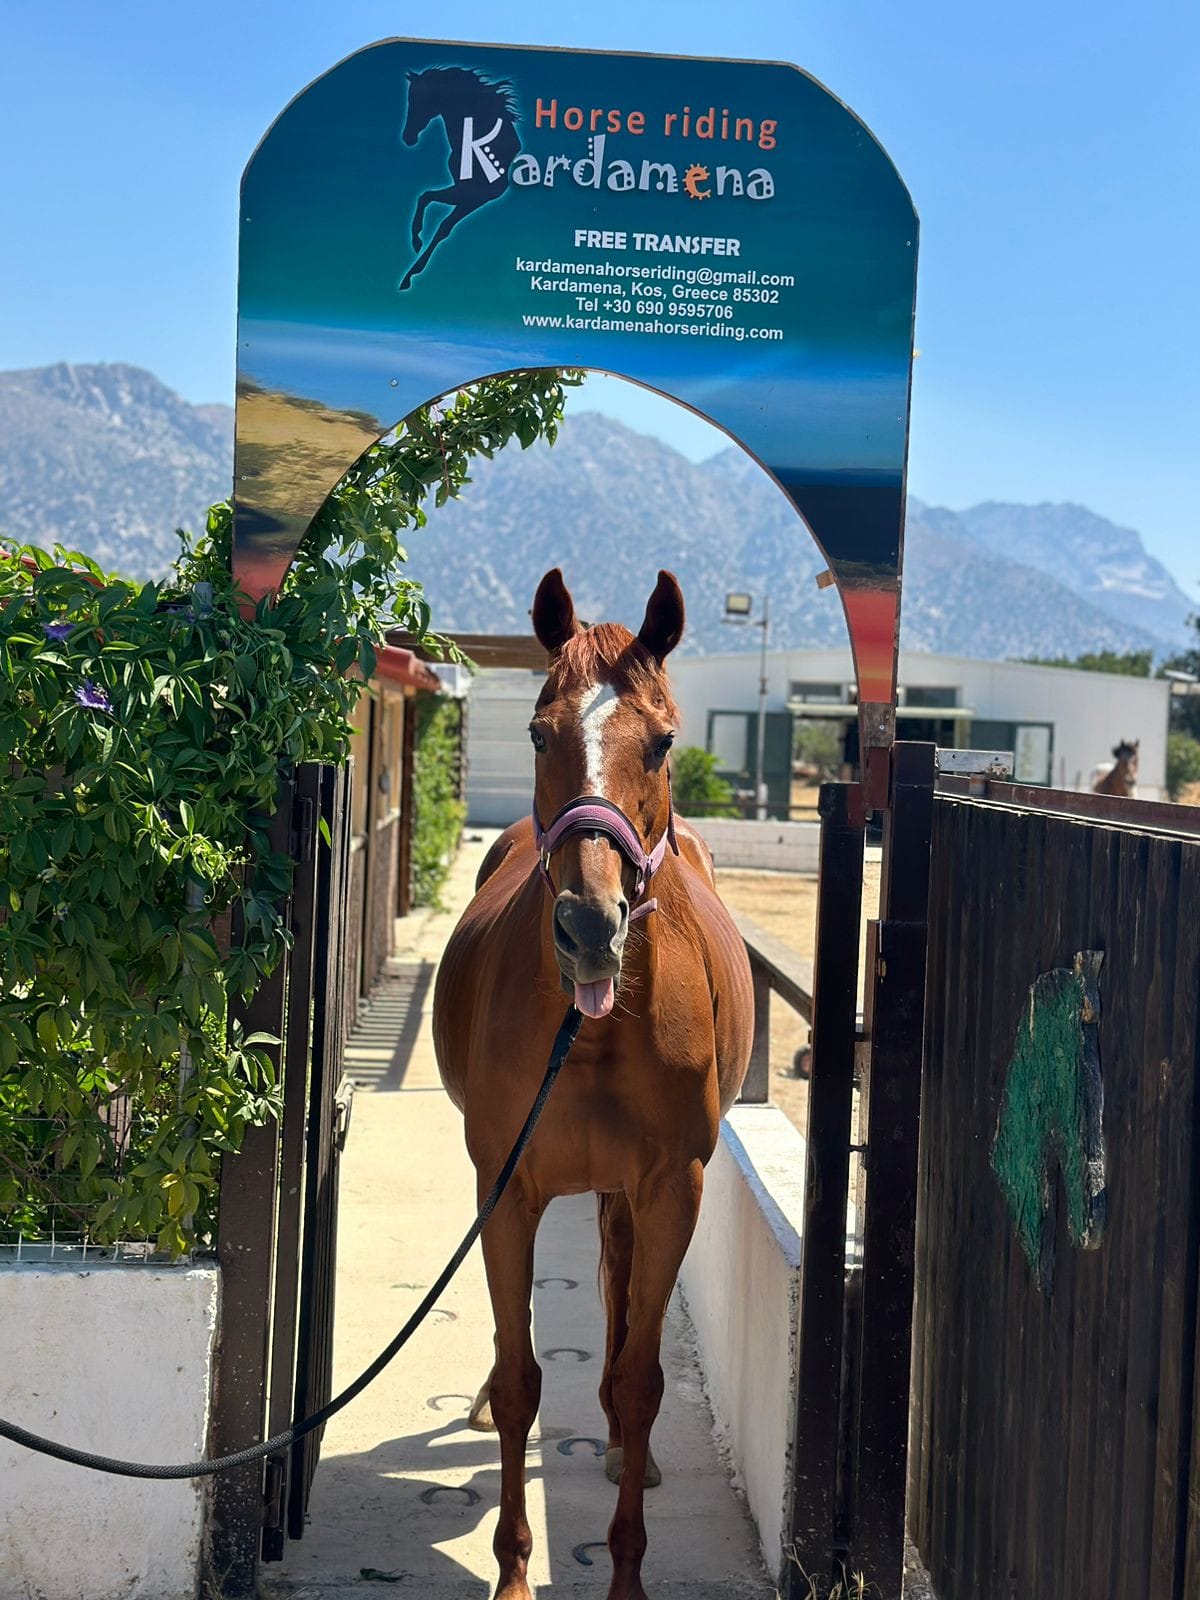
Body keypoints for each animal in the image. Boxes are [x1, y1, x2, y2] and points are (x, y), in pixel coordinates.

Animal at [398, 67, 521, 292]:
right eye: (410, 98)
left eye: (421, 98)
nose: (408, 137)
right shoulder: (465, 191)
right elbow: (426, 199)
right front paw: (416, 241)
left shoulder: (474, 195)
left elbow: (436, 215)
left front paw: (415, 253)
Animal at [433, 568, 753, 1600]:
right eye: (539, 733)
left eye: (662, 741)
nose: (587, 926)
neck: (593, 1027)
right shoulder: (506, 1189)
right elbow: (522, 1377)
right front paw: (513, 1574)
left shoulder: (671, 1190)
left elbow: (641, 1382)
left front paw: (624, 1573)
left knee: (619, 1294)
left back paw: (619, 1443)